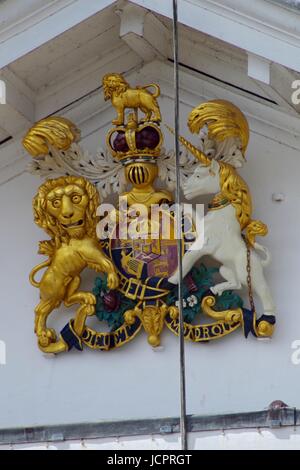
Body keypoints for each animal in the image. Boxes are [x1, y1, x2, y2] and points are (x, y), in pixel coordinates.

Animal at [30, 175, 119, 348]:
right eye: (56, 203)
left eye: (76, 198)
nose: (68, 214)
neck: (80, 232)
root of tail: (41, 282)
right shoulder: (90, 252)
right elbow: (106, 262)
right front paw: (113, 278)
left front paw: (117, 213)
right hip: (53, 294)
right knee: (40, 310)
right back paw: (44, 334)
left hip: (73, 279)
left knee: (67, 301)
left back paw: (86, 297)